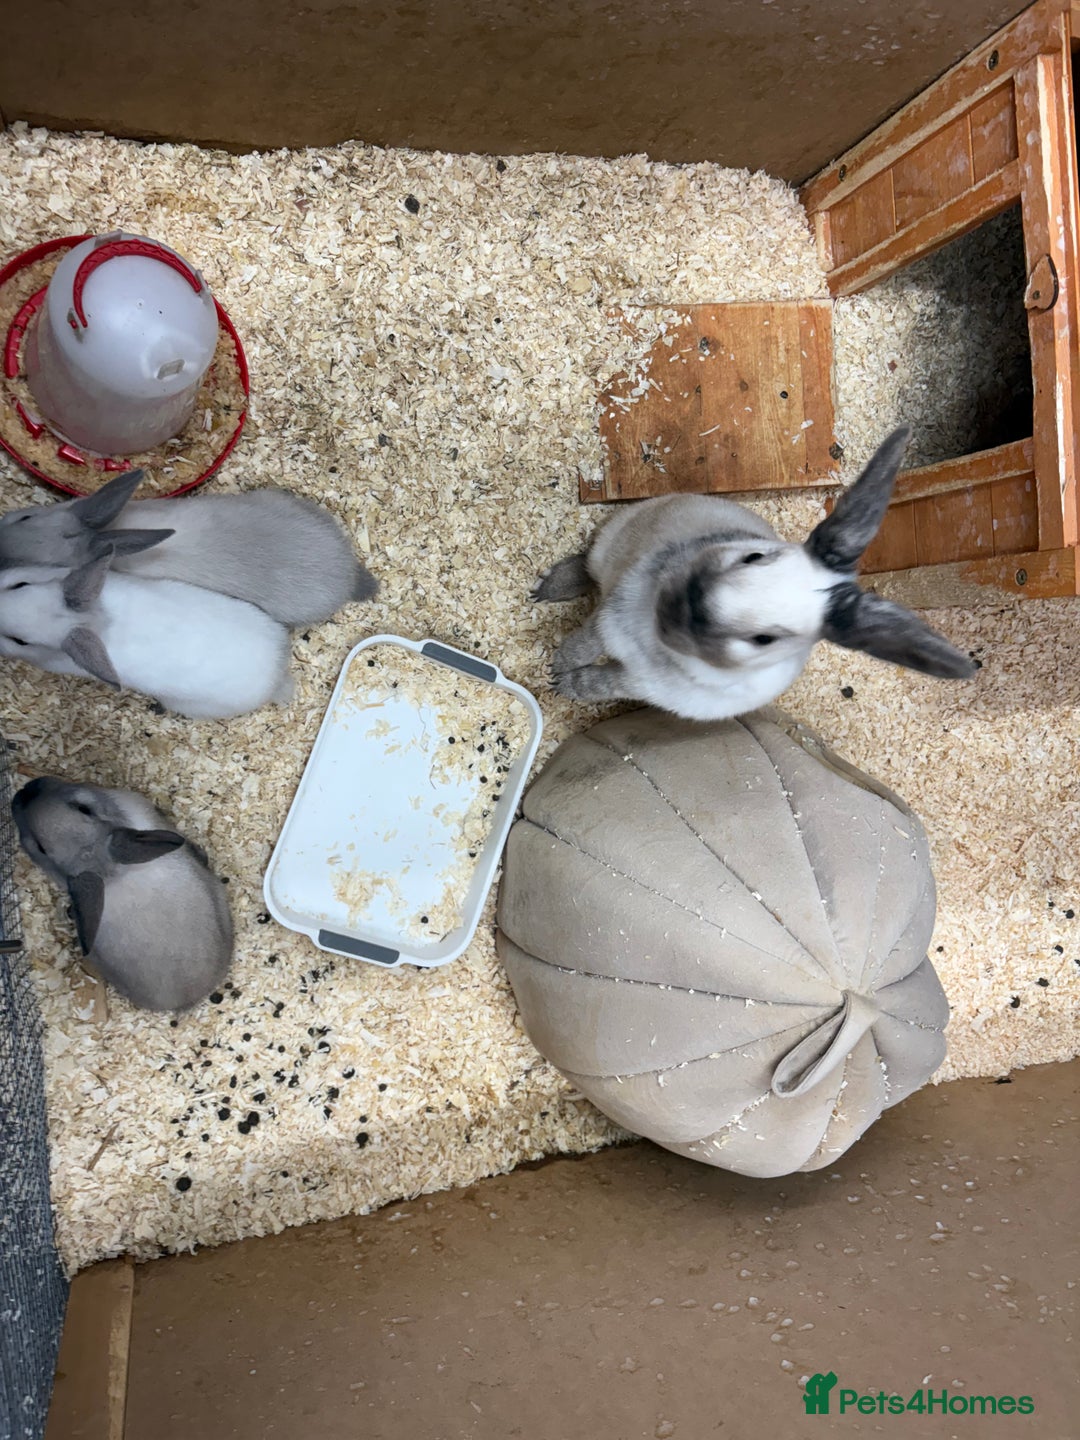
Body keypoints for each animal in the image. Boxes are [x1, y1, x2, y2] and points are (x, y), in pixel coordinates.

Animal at [532, 425, 977, 721]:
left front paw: (563, 684)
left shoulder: (640, 682)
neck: (654, 645)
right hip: (614, 538)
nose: (681, 606)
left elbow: (600, 683)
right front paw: (556, 668)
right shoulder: (612, 616)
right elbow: (584, 642)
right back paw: (546, 588)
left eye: (764, 639)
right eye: (754, 557)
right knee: (587, 564)